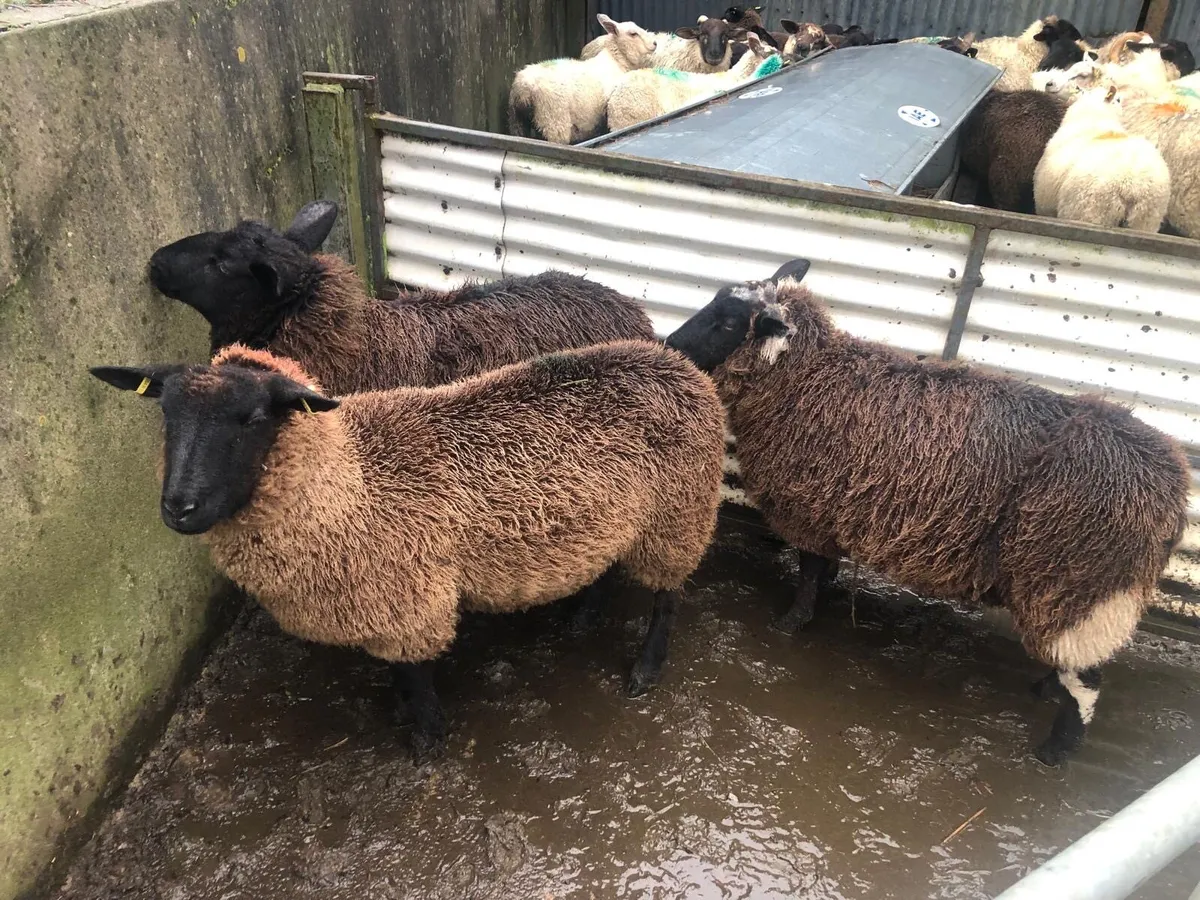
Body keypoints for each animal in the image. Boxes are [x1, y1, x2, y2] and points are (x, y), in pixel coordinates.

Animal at [91, 340, 726, 759]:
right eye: (165, 412)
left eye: (252, 417)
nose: (179, 507)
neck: (350, 481)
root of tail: (680, 364)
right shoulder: (387, 602)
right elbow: (397, 668)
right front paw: (400, 708)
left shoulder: (411, 598)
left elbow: (416, 674)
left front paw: (426, 740)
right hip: (613, 519)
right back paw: (583, 616)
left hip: (680, 515)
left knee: (669, 597)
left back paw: (646, 670)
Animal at [509, 14, 657, 144]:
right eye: (633, 34)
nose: (655, 43)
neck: (616, 60)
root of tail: (524, 88)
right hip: (553, 121)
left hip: (517, 122)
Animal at [664, 260, 1190, 765]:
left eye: (728, 322)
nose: (669, 345)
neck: (809, 378)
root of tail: (1173, 488)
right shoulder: (832, 508)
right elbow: (825, 566)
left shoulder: (811, 508)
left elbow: (810, 570)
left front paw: (791, 622)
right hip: (1068, 594)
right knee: (1070, 660)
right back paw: (1043, 687)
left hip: (1084, 585)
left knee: (1087, 681)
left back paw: (1055, 751)